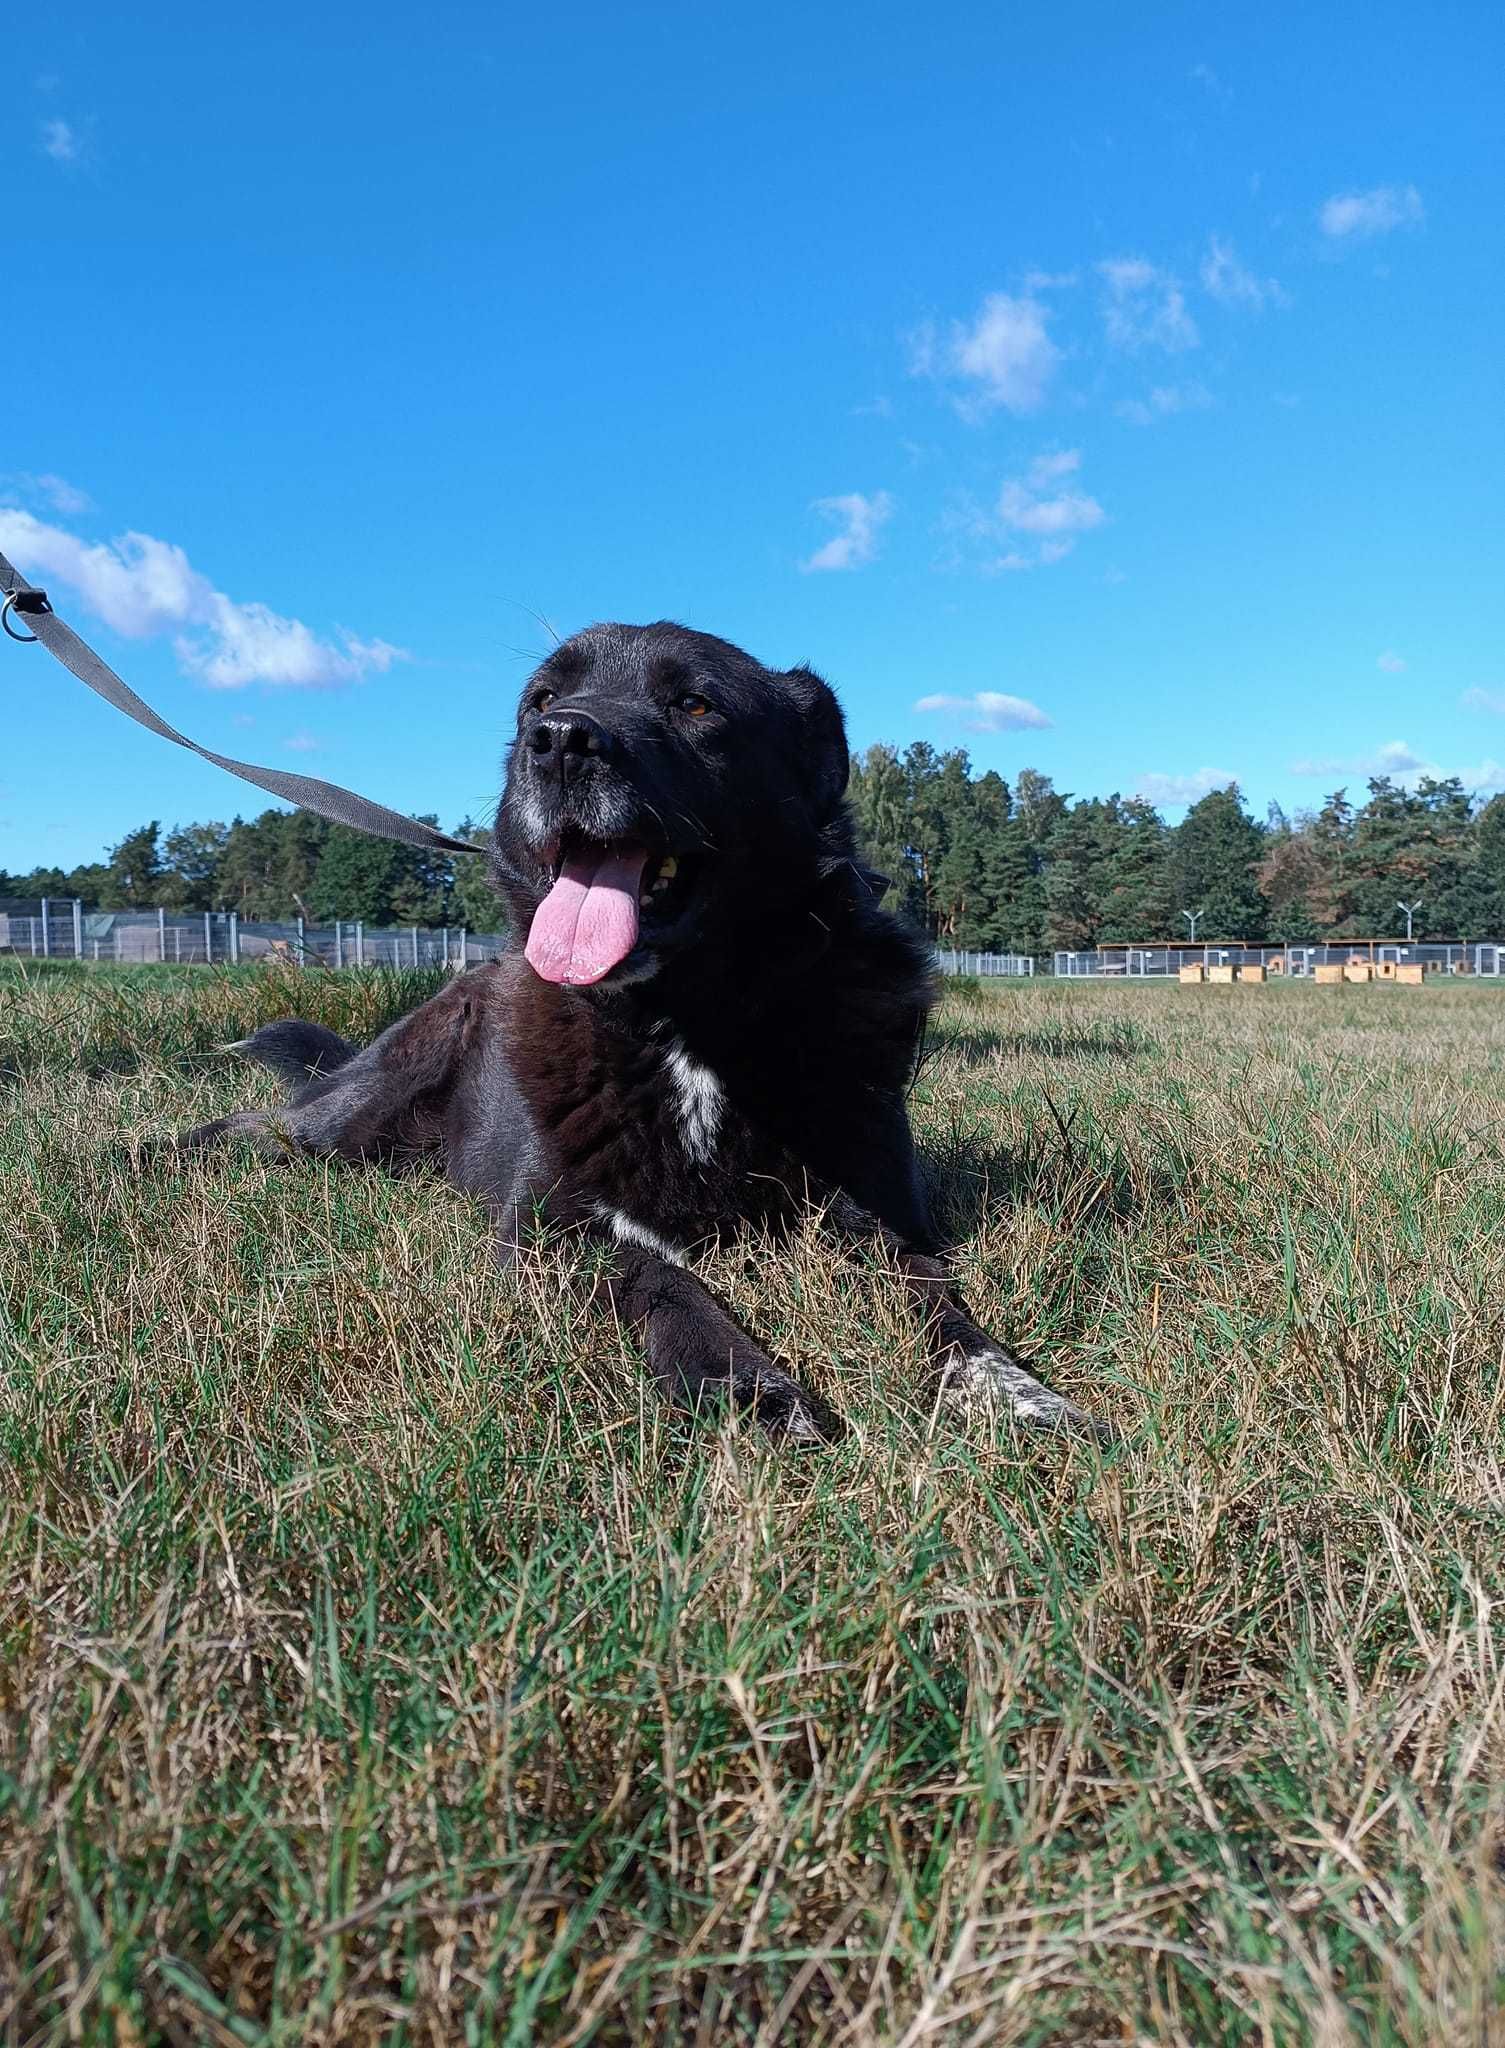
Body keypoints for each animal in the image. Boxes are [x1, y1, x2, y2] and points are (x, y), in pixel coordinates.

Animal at [185, 618, 1105, 1441]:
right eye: (539, 700)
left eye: (695, 704)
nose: (558, 739)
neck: (684, 1023)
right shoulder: (551, 1227)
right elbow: (659, 1278)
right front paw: (748, 1388)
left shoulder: (883, 1219)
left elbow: (938, 1305)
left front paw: (1018, 1395)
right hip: (351, 1117)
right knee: (251, 1126)